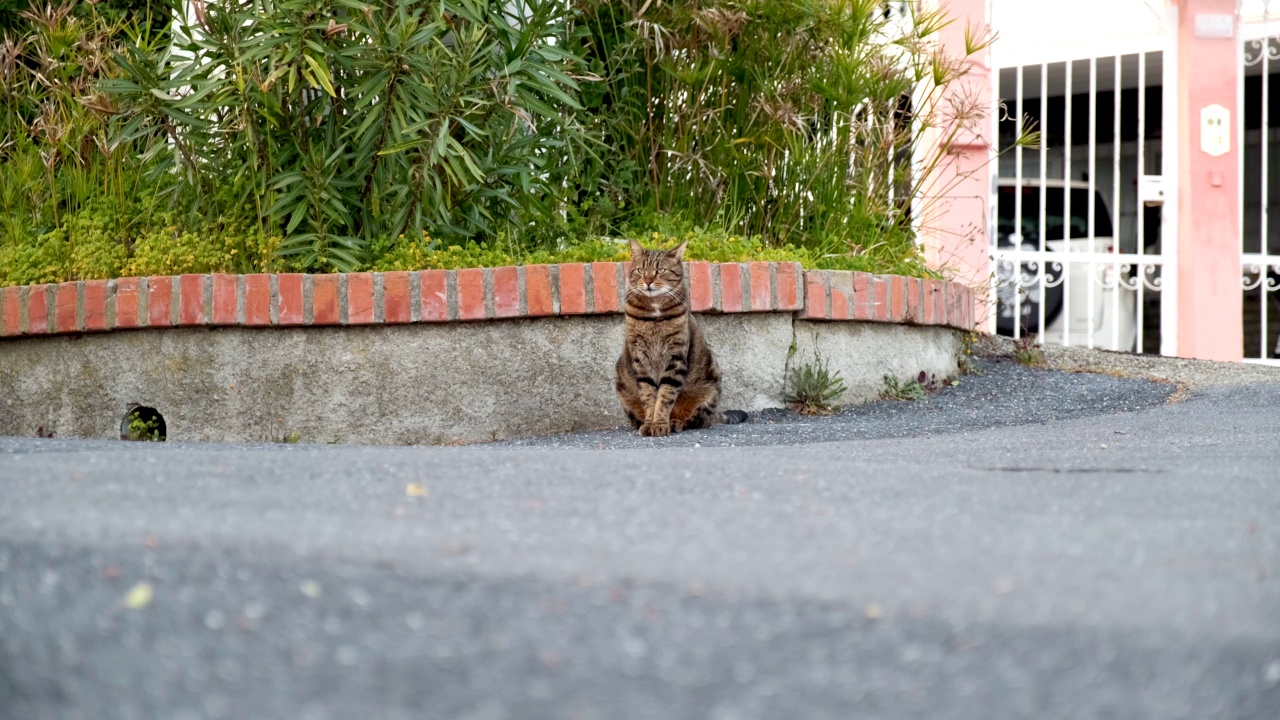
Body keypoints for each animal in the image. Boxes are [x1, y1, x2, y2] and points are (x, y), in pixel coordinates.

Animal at [611, 239, 747, 438]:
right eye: (641, 270)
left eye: (660, 270)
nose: (648, 281)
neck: (655, 310)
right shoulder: (640, 358)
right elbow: (649, 395)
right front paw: (650, 423)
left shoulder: (675, 357)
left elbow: (665, 395)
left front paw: (660, 424)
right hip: (622, 386)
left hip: (710, 384)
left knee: (695, 420)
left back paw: (675, 422)